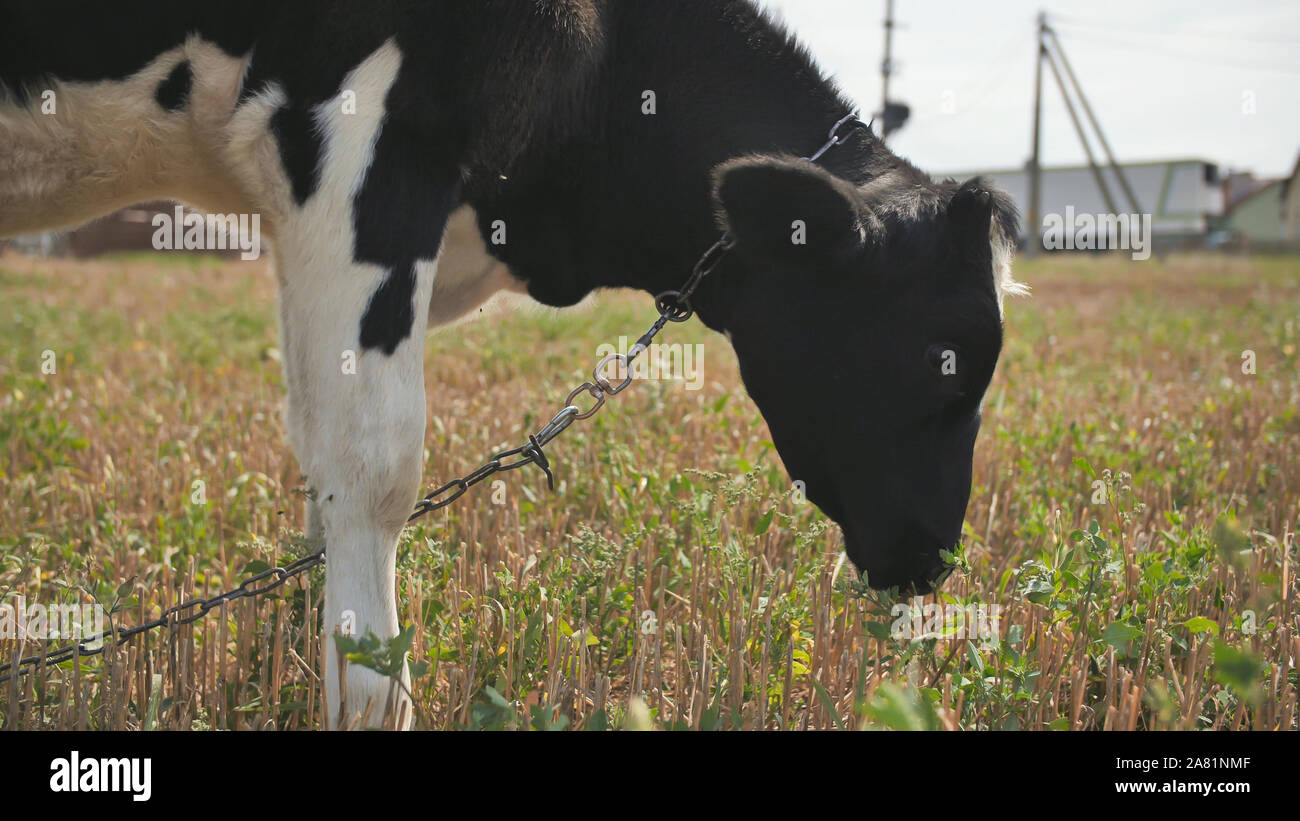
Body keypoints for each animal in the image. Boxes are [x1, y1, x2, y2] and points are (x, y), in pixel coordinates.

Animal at [0, 0, 1025, 728]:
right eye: (946, 358)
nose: (934, 557)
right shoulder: (365, 141)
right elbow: (373, 463)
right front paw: (372, 691)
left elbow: (316, 456)